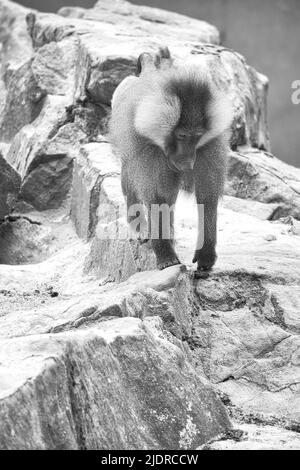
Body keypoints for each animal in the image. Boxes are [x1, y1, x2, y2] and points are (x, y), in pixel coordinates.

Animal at [109, 46, 233, 276]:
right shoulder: (147, 150)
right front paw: (166, 258)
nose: (188, 162)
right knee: (130, 176)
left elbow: (207, 198)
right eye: (182, 135)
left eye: (197, 136)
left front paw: (205, 255)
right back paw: (139, 227)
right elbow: (156, 198)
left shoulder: (207, 149)